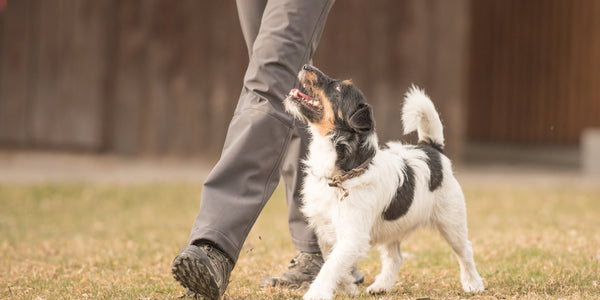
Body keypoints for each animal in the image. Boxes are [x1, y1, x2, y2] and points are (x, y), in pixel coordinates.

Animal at [284, 65, 486, 300]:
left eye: (338, 88)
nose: (306, 66)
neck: (344, 173)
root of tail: (431, 148)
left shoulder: (353, 236)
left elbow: (331, 265)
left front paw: (317, 292)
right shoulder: (325, 229)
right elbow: (331, 259)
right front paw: (348, 287)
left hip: (451, 222)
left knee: (465, 251)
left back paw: (472, 284)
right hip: (392, 227)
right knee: (395, 257)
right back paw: (381, 286)